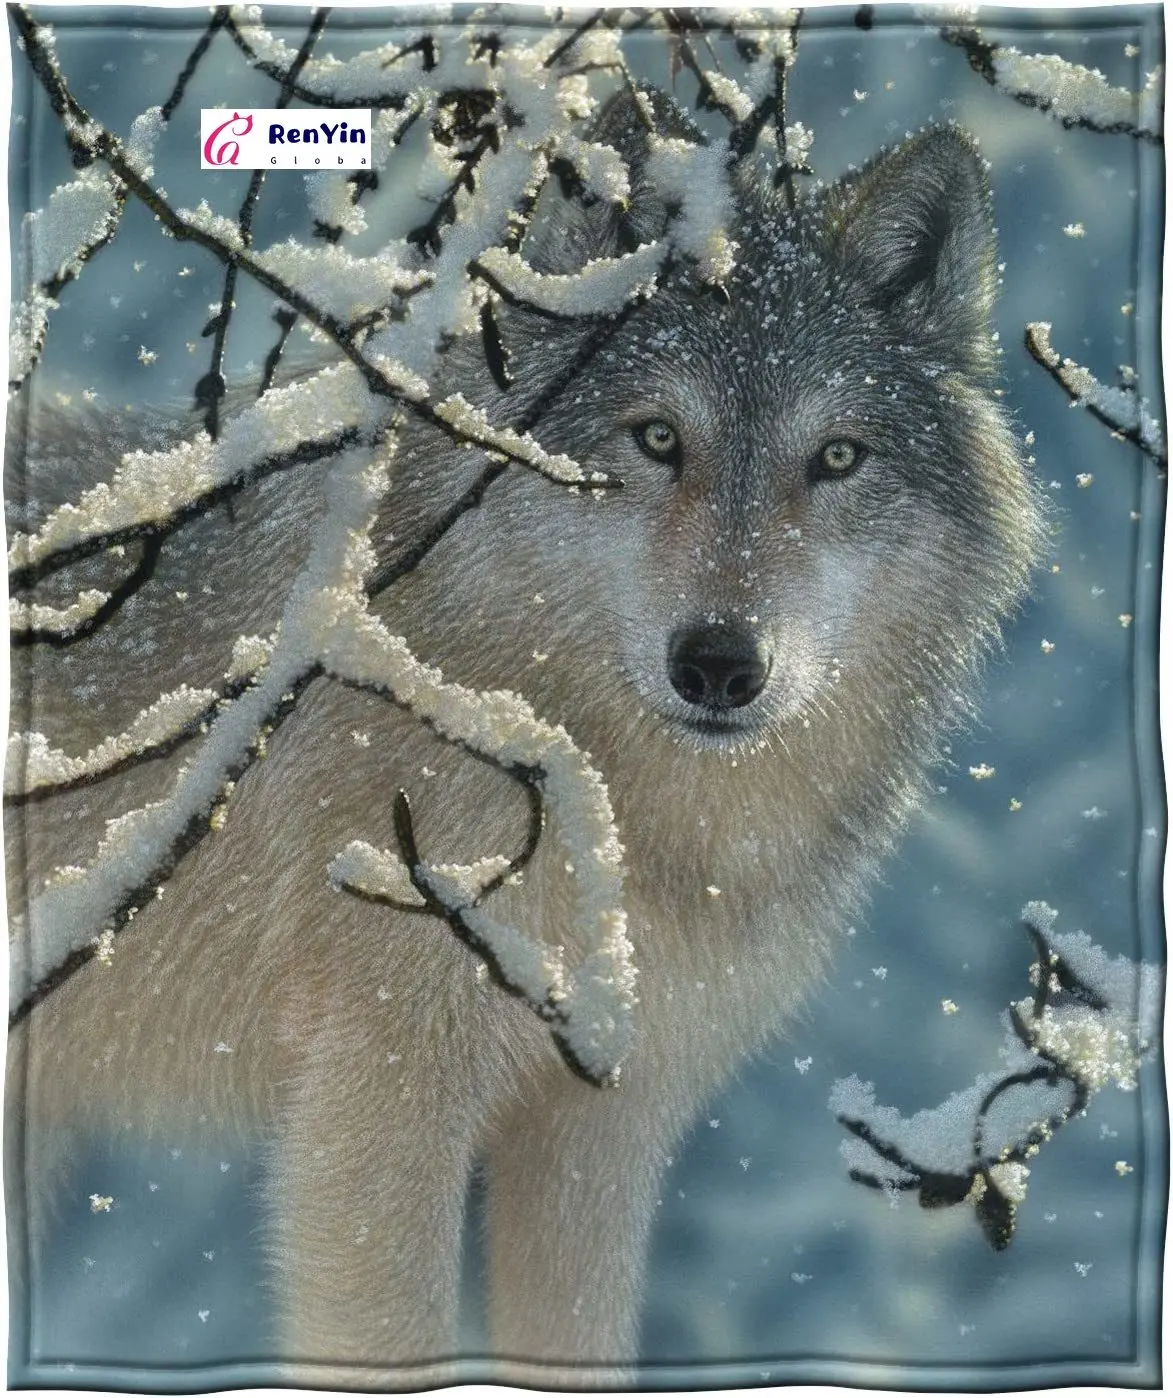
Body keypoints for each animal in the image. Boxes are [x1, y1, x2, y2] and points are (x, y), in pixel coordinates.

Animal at [6, 90, 1041, 1389]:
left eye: (839, 458)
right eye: (657, 439)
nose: (719, 664)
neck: (620, 817)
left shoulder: (603, 1127)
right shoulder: (379, 1104)